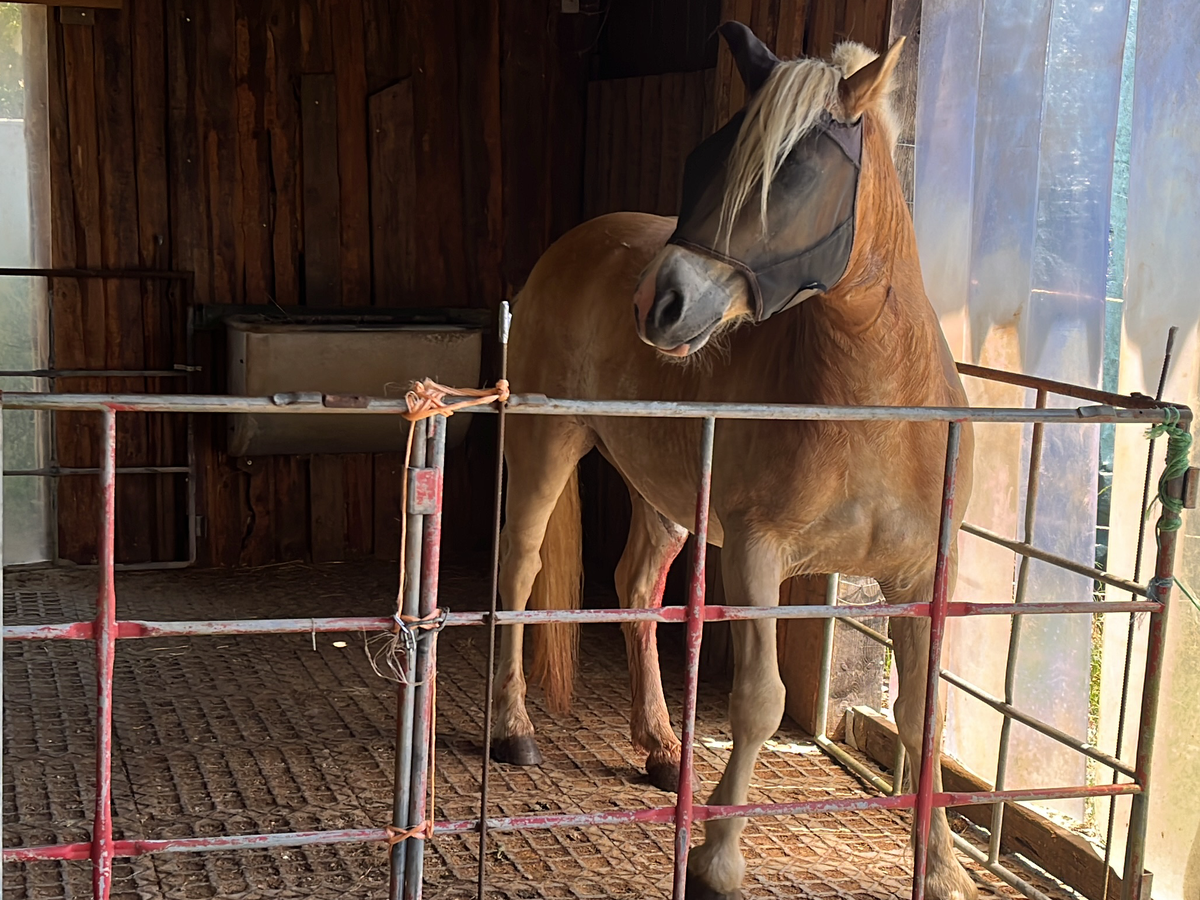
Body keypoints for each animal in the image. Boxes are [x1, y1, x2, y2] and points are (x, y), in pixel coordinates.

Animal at [487, 22, 977, 900]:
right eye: (708, 158)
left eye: (795, 174)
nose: (659, 304)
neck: (874, 407)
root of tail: (578, 241)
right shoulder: (757, 555)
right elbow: (758, 701)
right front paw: (717, 856)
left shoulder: (923, 574)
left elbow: (924, 715)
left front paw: (944, 867)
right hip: (548, 444)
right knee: (520, 565)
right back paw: (513, 728)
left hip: (668, 493)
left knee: (636, 585)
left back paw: (659, 744)